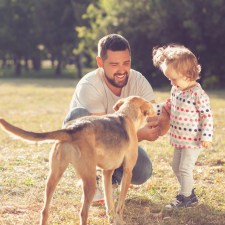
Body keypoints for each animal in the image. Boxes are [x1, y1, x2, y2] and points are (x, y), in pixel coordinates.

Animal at [0, 96, 155, 225]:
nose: (155, 103)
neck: (126, 115)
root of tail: (72, 129)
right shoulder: (128, 171)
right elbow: (120, 205)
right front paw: (120, 221)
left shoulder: (107, 172)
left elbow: (109, 202)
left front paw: (111, 220)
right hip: (89, 181)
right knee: (83, 213)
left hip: (53, 176)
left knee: (44, 210)